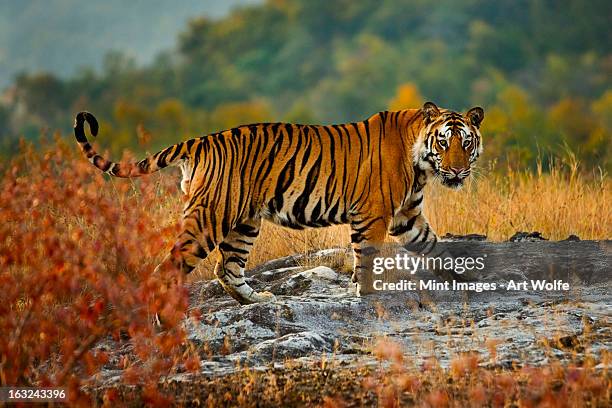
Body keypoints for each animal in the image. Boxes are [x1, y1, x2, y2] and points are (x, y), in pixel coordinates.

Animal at [73, 101, 482, 302]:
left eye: (466, 142)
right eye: (444, 142)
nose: (458, 171)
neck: (422, 164)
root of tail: (201, 140)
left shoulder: (407, 216)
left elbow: (435, 246)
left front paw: (468, 276)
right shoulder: (374, 215)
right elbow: (366, 257)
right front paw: (364, 294)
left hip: (243, 222)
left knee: (227, 268)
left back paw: (258, 301)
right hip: (209, 218)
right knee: (170, 267)